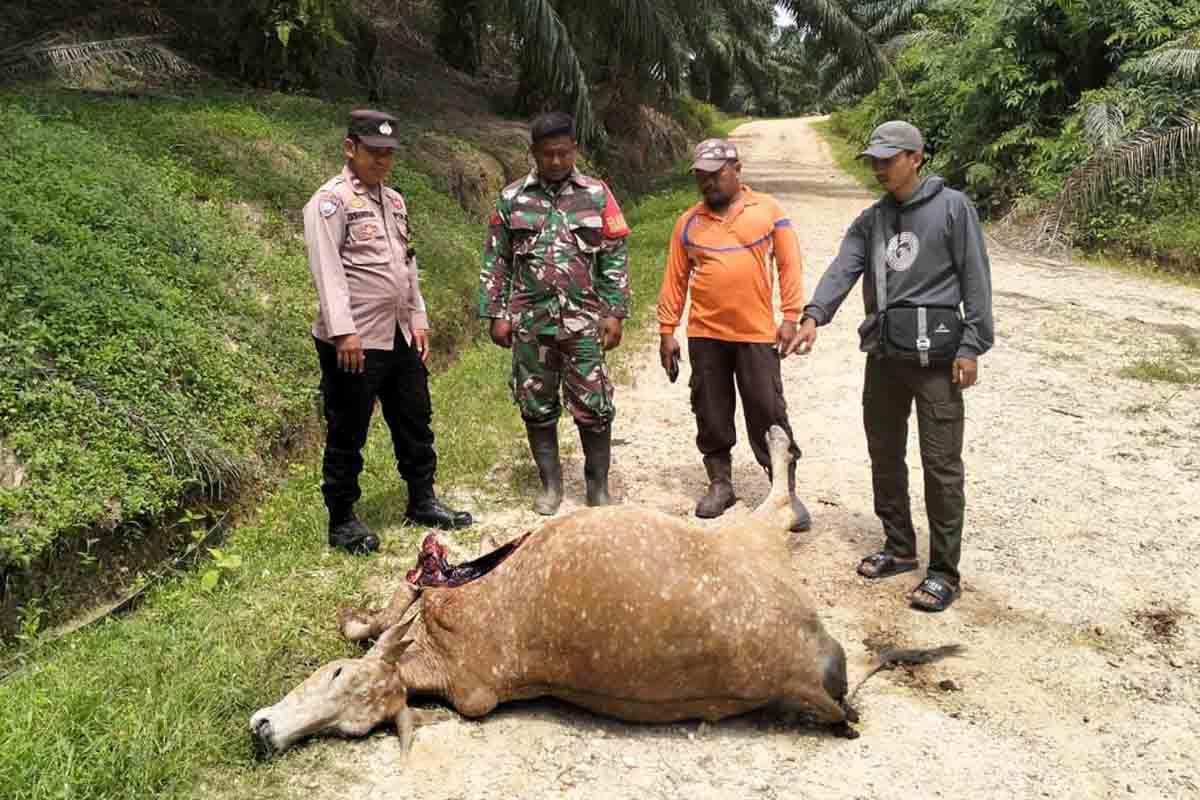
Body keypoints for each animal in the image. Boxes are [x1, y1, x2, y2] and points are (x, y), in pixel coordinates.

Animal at [250, 424, 955, 758]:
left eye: (338, 675)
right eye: (348, 731)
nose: (264, 732)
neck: (440, 658)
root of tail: (819, 676)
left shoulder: (437, 586)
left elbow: (383, 611)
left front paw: (357, 623)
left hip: (749, 534)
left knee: (781, 495)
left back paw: (780, 440)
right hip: (756, 550)